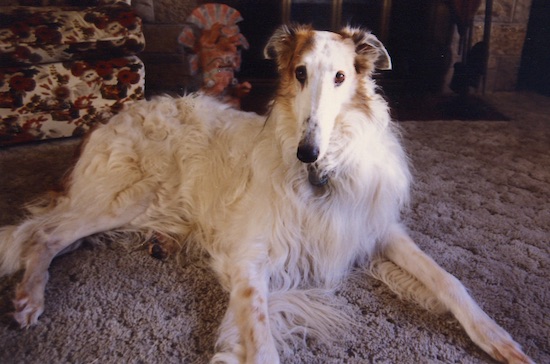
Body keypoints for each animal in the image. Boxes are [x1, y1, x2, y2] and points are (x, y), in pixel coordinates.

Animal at [0, 25, 536, 364]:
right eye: (299, 72)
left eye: (341, 76)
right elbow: (258, 335)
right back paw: (28, 297)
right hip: (125, 196)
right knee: (43, 234)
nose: (306, 151)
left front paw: (500, 340)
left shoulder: (374, 228)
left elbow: (450, 280)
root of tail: (111, 119)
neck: (323, 176)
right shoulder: (248, 256)